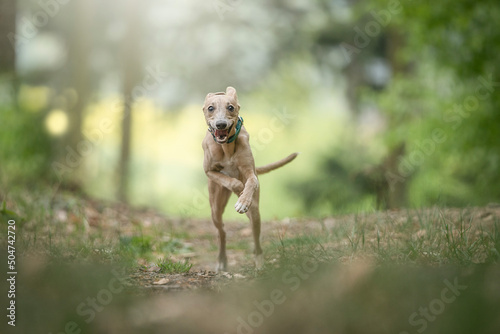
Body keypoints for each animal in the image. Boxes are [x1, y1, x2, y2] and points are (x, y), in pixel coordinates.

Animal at [202, 86, 296, 272]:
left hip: (256, 214)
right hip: (215, 208)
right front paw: (239, 190)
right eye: (210, 108)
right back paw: (221, 260)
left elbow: (251, 181)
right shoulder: (209, 171)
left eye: (230, 107)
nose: (221, 124)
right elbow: (230, 180)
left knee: (256, 238)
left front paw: (244, 200)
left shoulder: (250, 172)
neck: (226, 147)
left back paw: (259, 263)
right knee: (221, 232)